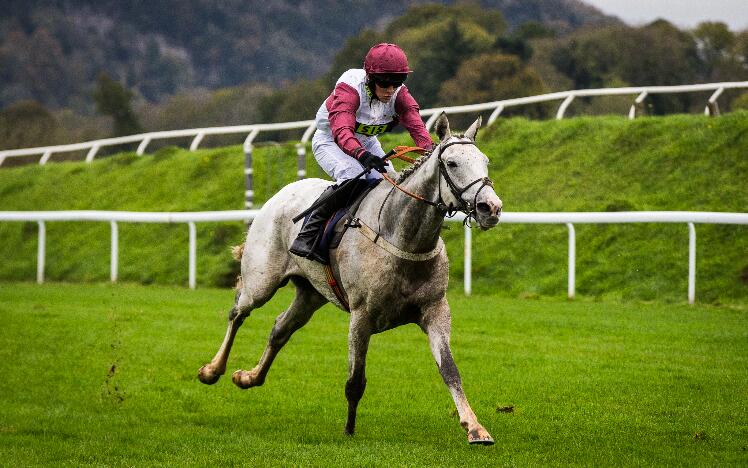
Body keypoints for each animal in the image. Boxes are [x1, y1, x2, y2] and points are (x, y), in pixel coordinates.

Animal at [199, 111, 502, 444]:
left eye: (485, 161)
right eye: (452, 163)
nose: (491, 208)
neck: (403, 237)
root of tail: (280, 194)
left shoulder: (435, 310)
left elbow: (450, 369)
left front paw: (475, 427)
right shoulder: (361, 315)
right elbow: (355, 380)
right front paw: (349, 429)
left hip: (311, 293)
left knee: (280, 328)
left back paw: (249, 377)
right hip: (261, 281)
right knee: (238, 312)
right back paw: (212, 370)